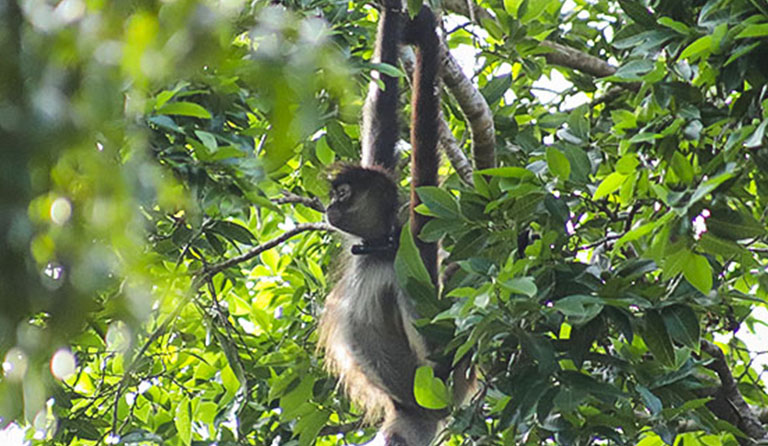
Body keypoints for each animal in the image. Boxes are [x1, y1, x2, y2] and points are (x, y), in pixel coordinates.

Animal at [318, 2, 451, 445]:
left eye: (343, 194)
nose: (329, 206)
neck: (379, 249)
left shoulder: (411, 259)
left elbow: (437, 349)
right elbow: (381, 108)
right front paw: (396, 16)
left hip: (420, 412)